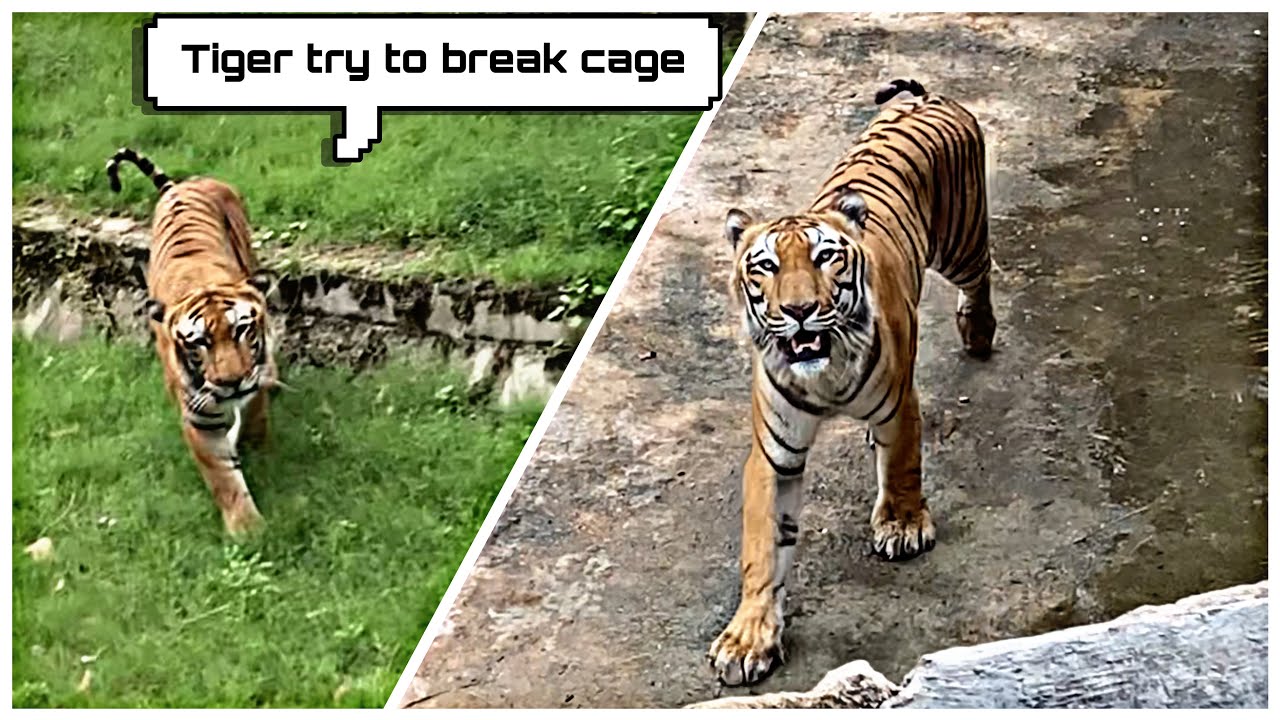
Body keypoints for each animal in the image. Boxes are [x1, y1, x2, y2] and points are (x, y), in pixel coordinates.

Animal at [107, 147, 279, 536]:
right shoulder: (199, 416)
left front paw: (256, 448)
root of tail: (179, 186)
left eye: (241, 330)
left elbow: (256, 412)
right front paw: (249, 531)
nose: (232, 383)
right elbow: (223, 477)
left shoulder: (256, 376)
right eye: (200, 343)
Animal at [708, 79, 997, 686]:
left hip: (960, 241)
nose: (798, 311)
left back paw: (978, 331)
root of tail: (928, 97)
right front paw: (748, 641)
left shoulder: (899, 404)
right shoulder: (774, 453)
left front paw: (903, 527)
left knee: (981, 272)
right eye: (764, 266)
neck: (825, 376)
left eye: (826, 257)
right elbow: (762, 548)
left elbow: (904, 464)